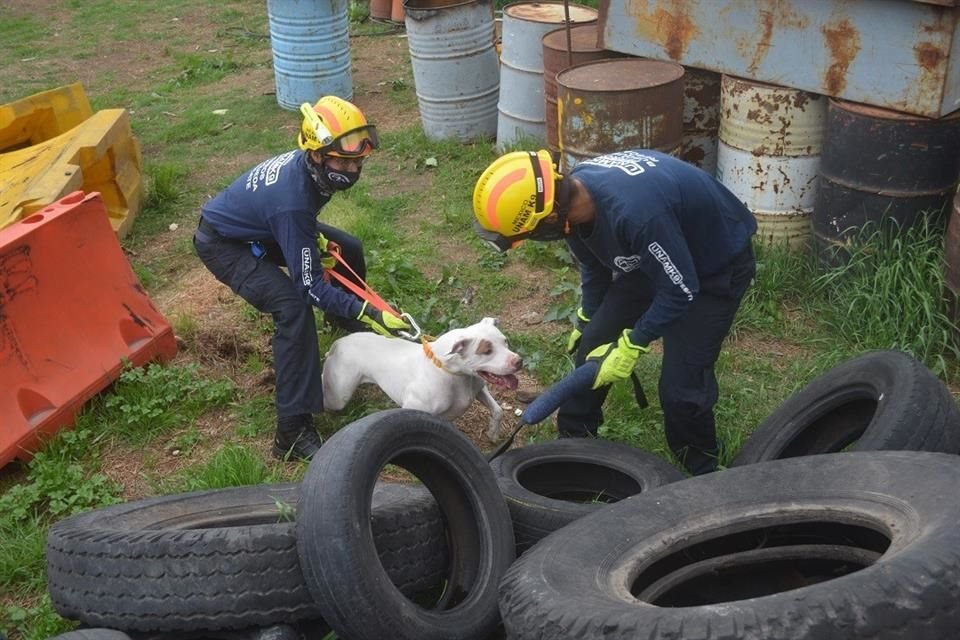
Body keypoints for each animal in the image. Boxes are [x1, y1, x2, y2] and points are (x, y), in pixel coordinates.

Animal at [322, 316, 520, 440]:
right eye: (487, 351)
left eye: (505, 341)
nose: (519, 361)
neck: (451, 372)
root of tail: (339, 343)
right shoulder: (413, 408)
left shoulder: (479, 389)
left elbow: (498, 411)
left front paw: (493, 433)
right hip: (338, 396)